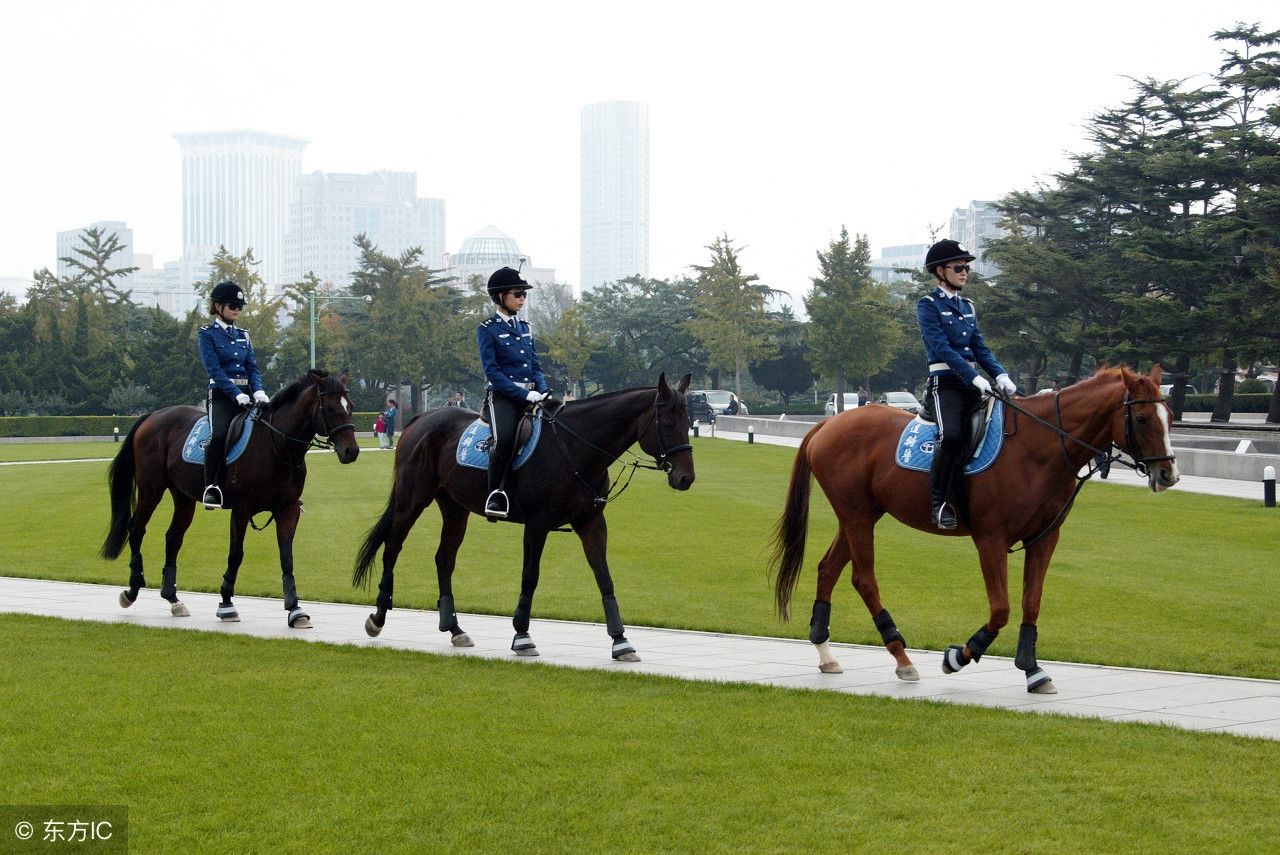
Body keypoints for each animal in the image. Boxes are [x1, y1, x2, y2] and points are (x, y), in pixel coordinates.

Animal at [97, 368, 360, 627]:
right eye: (330, 408)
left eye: (350, 406)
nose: (351, 451)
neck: (277, 446)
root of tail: (153, 415)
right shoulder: (242, 510)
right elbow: (236, 555)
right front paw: (226, 604)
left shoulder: (288, 510)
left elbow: (286, 557)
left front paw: (295, 609)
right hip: (151, 490)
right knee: (136, 529)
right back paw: (132, 590)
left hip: (183, 496)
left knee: (173, 537)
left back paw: (173, 599)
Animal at [350, 373, 696, 660]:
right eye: (667, 424)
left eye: (688, 421)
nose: (685, 478)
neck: (574, 447)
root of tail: (422, 419)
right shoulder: (537, 524)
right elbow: (530, 576)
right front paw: (522, 635)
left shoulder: (591, 522)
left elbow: (604, 576)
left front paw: (620, 640)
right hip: (411, 501)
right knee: (392, 550)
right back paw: (378, 616)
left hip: (455, 508)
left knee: (444, 559)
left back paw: (454, 628)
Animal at [768, 363, 1177, 691]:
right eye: (1143, 419)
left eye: (1170, 416)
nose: (1168, 473)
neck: (1036, 447)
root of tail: (829, 422)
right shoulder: (990, 539)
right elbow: (1001, 609)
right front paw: (959, 656)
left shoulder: (1044, 539)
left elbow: (1031, 603)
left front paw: (1032, 669)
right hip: (857, 516)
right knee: (863, 579)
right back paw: (901, 657)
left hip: (862, 515)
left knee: (828, 568)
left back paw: (826, 653)